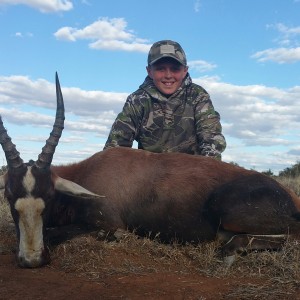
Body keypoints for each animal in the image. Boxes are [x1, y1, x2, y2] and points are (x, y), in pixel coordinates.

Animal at [0, 73, 300, 268]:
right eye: (10, 197)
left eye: (49, 197)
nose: (31, 260)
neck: (89, 173)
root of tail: (289, 197)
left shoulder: (108, 226)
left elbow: (57, 232)